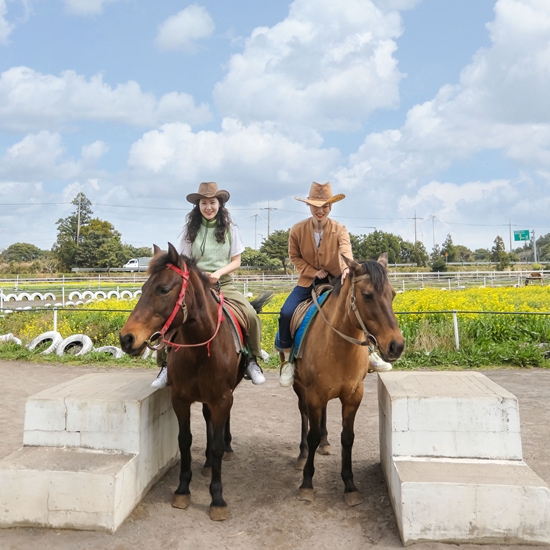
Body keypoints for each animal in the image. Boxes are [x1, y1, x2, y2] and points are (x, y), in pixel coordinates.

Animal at [119, 245, 270, 520]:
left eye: (163, 289)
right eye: (144, 288)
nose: (126, 338)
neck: (201, 349)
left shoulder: (222, 398)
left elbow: (218, 445)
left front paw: (217, 499)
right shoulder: (180, 399)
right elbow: (185, 440)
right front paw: (182, 490)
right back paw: (208, 463)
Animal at [294, 254, 406, 508]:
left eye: (393, 294)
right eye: (367, 295)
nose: (396, 345)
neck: (337, 347)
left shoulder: (354, 396)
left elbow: (348, 438)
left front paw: (350, 485)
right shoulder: (313, 395)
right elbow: (312, 435)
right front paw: (307, 483)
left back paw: (325, 443)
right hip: (300, 388)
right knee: (303, 414)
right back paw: (302, 454)